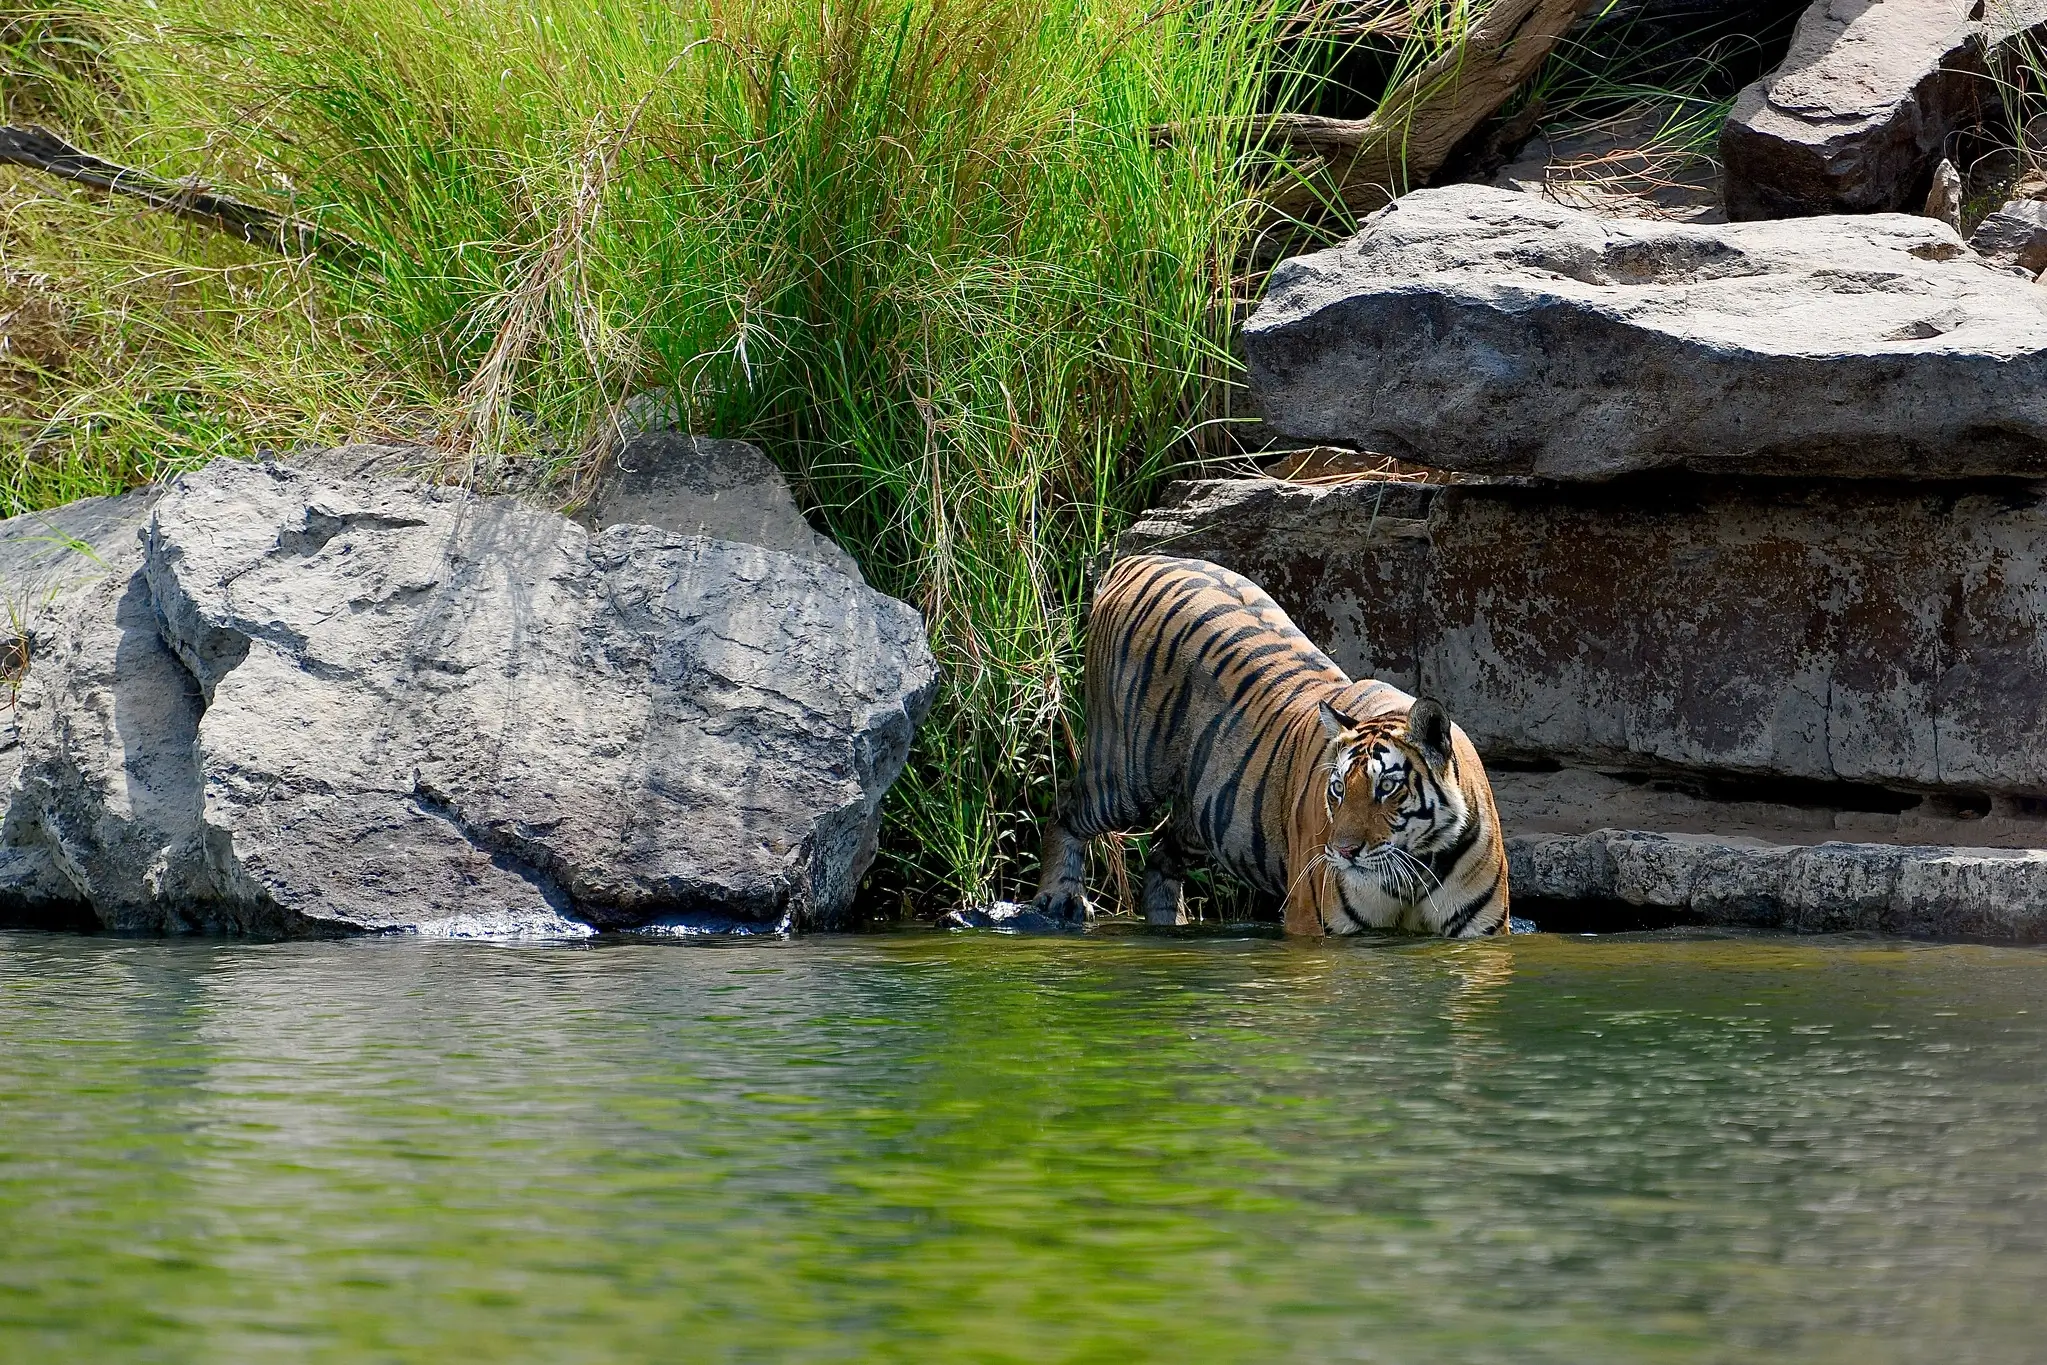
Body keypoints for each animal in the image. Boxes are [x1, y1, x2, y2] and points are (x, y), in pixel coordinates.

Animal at [1030, 553, 1510, 937]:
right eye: (1338, 789)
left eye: (1387, 787)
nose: (1343, 853)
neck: (1417, 868)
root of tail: (1137, 559)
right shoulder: (1318, 926)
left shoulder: (1482, 933)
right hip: (1127, 773)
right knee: (1067, 804)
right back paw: (1061, 899)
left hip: (1210, 810)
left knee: (1162, 851)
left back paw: (1172, 926)